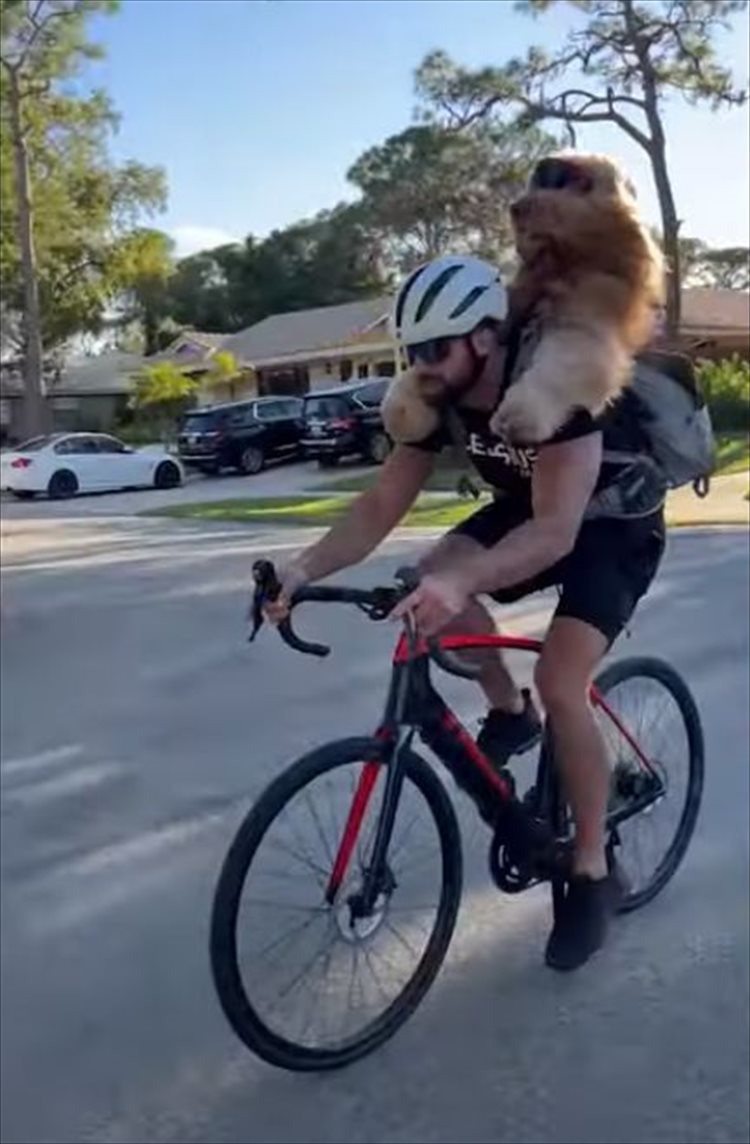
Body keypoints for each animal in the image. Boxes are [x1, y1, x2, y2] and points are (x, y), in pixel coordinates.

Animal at [381, 155, 663, 446]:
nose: (546, 165)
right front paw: (403, 411)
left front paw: (516, 416)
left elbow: (567, 358)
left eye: (575, 180)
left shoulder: (589, 316)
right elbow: (415, 376)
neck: (563, 262)